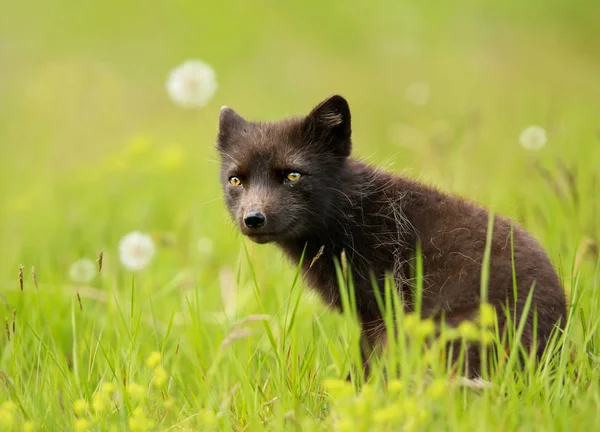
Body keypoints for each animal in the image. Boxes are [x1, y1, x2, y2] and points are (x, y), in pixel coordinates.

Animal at [216, 95, 568, 378]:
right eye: (236, 180)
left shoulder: (385, 310)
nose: (253, 218)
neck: (353, 216)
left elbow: (373, 368)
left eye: (292, 174)